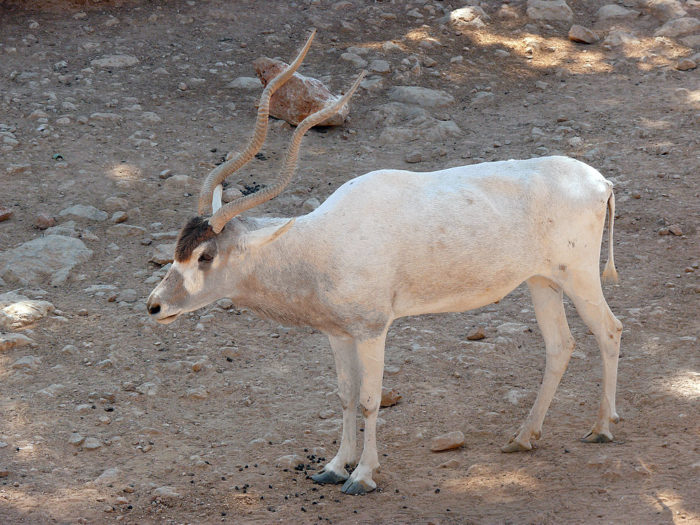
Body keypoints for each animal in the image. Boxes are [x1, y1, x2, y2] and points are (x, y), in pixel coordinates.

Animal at [148, 30, 624, 494]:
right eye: (178, 248)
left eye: (206, 255)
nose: (155, 306)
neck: (318, 244)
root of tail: (601, 182)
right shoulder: (338, 333)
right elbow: (344, 395)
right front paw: (334, 466)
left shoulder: (373, 330)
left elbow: (369, 399)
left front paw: (362, 475)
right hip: (542, 281)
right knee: (560, 345)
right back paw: (523, 437)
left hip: (580, 277)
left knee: (609, 329)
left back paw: (602, 428)